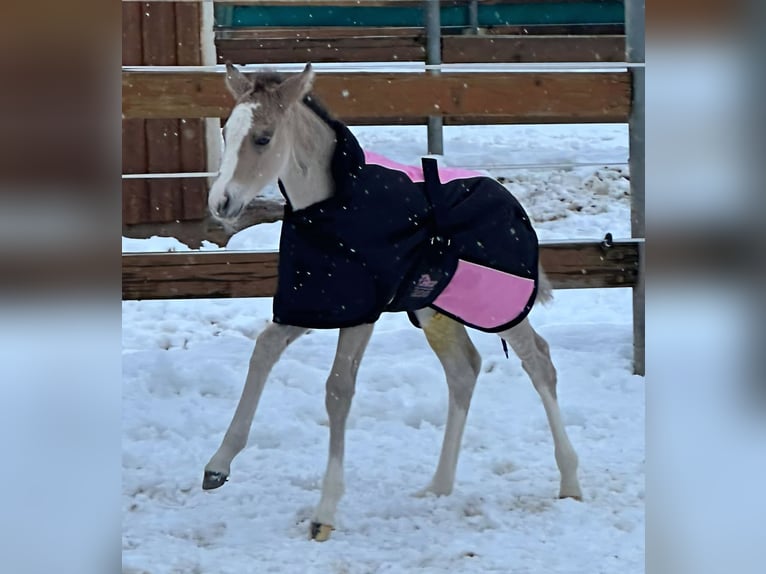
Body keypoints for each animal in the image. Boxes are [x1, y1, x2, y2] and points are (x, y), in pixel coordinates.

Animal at [202, 63, 582, 541]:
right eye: (227, 131)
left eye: (263, 137)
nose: (221, 202)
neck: (332, 204)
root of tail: (511, 200)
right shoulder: (319, 299)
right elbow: (263, 350)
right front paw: (218, 465)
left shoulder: (363, 308)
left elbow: (338, 388)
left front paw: (325, 512)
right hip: (433, 306)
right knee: (464, 369)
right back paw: (439, 485)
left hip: (499, 302)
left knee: (539, 360)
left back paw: (570, 481)